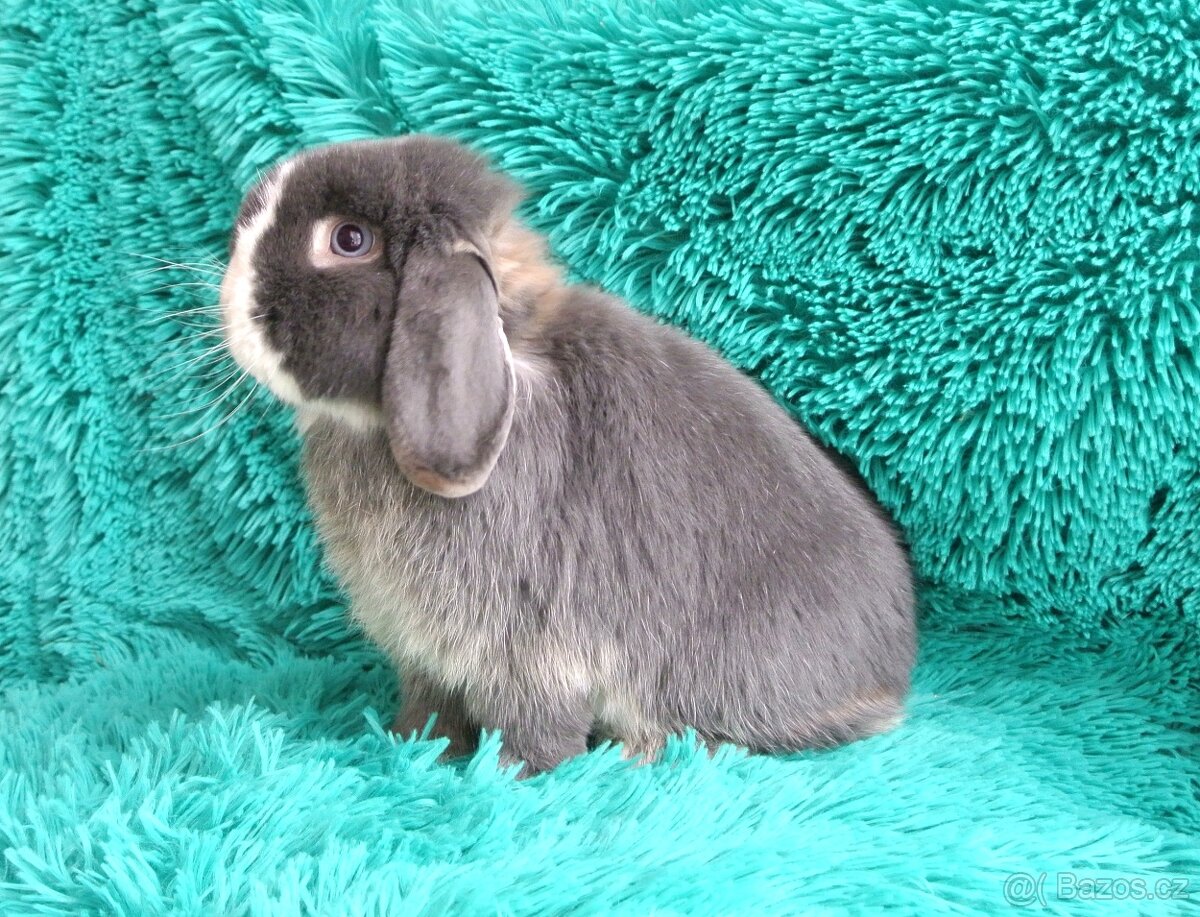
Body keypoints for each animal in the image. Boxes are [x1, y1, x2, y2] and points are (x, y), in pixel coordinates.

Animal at [219, 134, 917, 776]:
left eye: (348, 240)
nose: (226, 301)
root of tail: (890, 675)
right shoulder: (425, 652)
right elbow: (431, 706)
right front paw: (412, 745)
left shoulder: (530, 643)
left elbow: (536, 721)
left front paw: (511, 772)